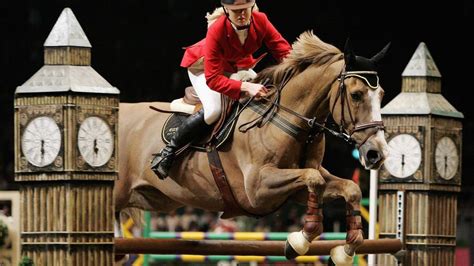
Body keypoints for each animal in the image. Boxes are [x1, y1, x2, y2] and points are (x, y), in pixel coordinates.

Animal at [114, 31, 388, 264]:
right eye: (356, 95)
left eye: (382, 94)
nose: (377, 153)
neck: (286, 119)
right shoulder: (257, 189)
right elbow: (314, 179)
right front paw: (299, 240)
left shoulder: (294, 190)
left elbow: (348, 188)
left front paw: (346, 249)